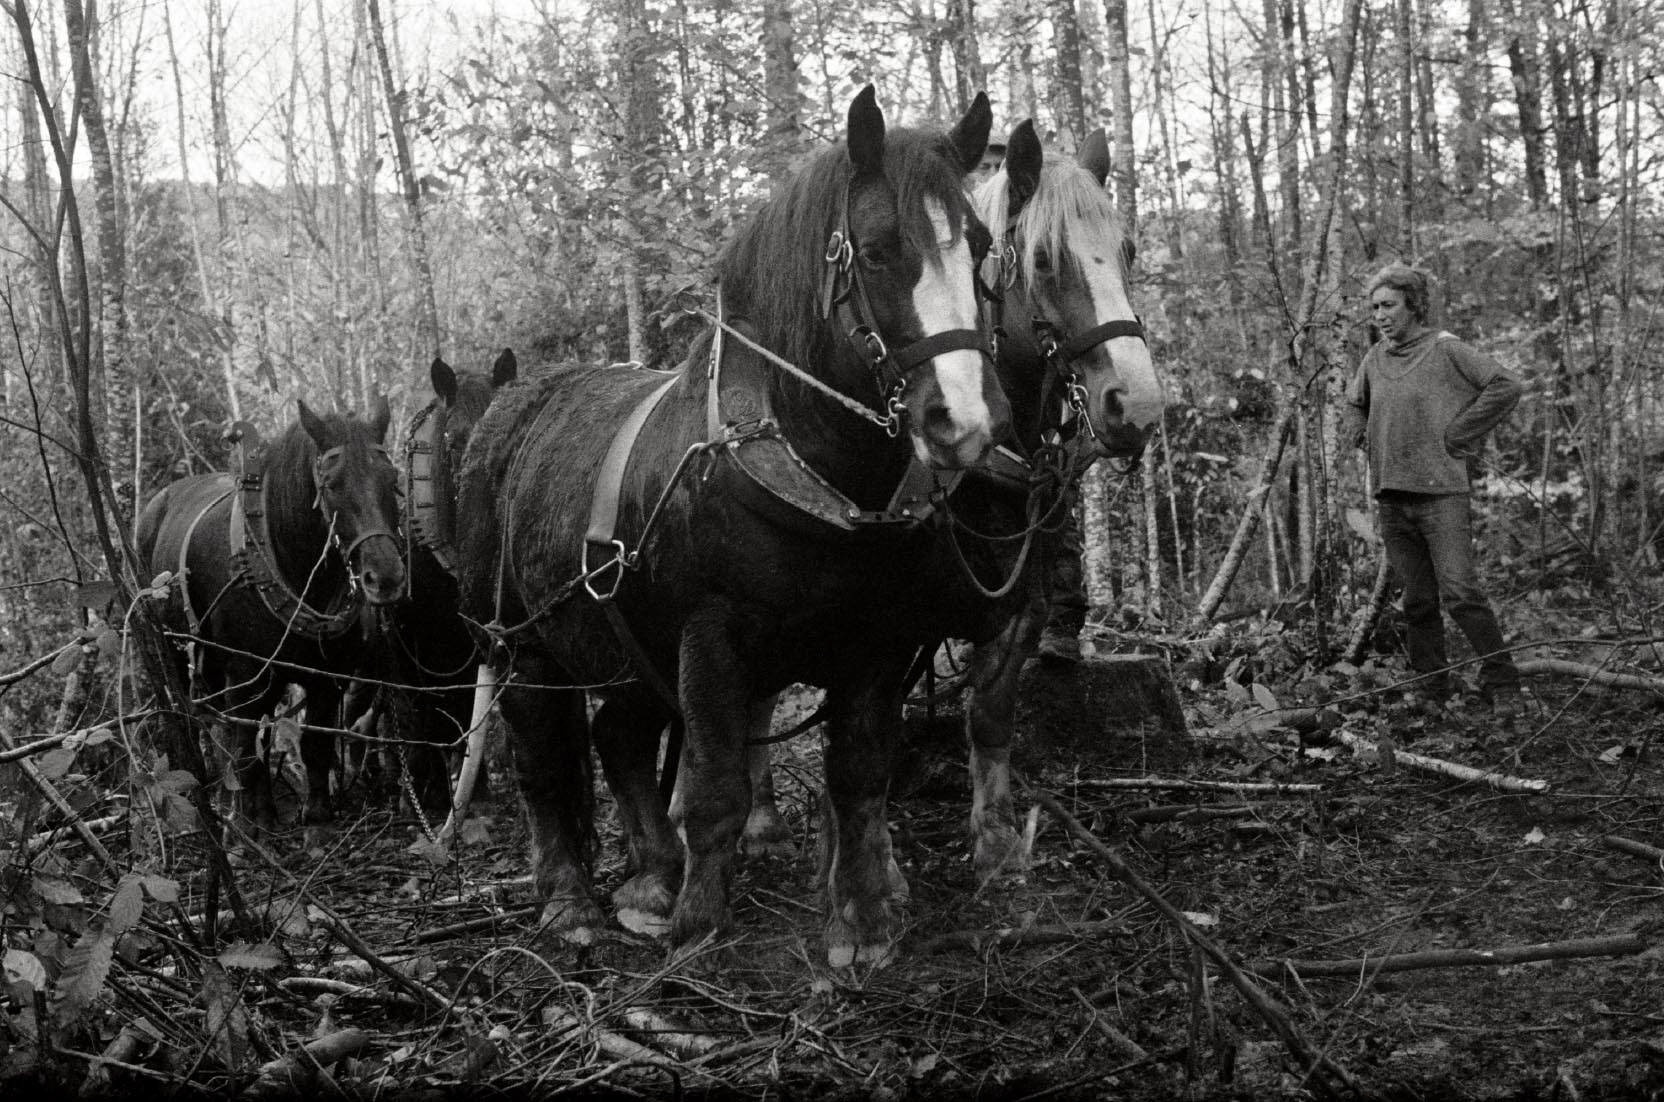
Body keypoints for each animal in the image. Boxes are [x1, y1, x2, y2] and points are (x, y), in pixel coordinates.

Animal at [137, 399, 406, 828]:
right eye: (331, 485)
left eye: (391, 477)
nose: (385, 577)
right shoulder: (245, 675)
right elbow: (244, 751)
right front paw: (248, 828)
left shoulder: (325, 678)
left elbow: (315, 747)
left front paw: (315, 819)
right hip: (177, 650)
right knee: (198, 723)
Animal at [454, 86, 1012, 965]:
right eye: (878, 250)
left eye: (982, 246)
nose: (964, 419)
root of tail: (507, 415)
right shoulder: (707, 640)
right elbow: (717, 788)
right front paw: (699, 926)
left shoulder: (874, 644)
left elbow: (859, 775)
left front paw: (863, 923)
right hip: (520, 647)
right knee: (542, 763)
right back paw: (570, 900)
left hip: (621, 648)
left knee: (618, 737)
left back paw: (650, 877)